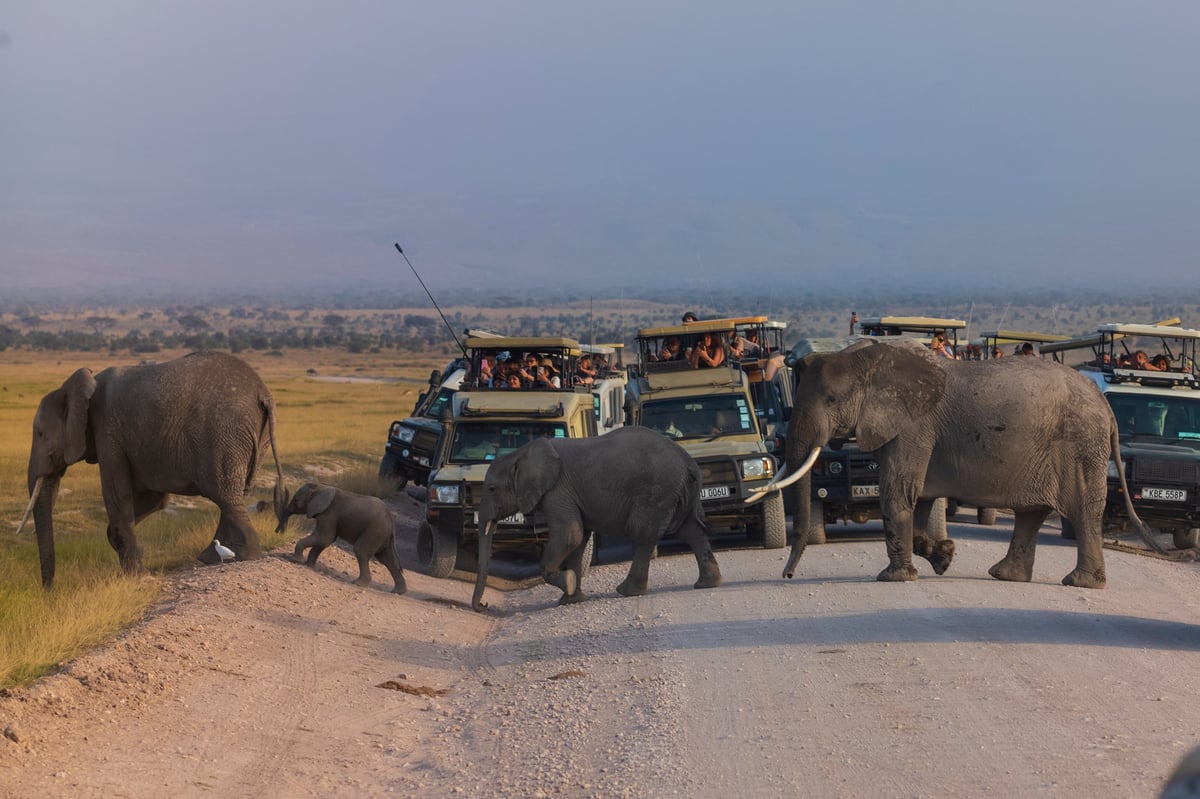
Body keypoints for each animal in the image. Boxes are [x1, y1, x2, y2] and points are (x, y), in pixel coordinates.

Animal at [19, 351, 283, 589]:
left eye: (40, 433)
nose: (49, 591)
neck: (77, 386)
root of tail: (264, 394)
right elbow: (154, 499)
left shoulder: (107, 431)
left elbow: (117, 492)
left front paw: (132, 573)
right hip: (251, 438)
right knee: (234, 495)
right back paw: (213, 557)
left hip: (224, 434)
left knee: (224, 494)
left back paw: (240, 556)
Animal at [276, 482, 407, 594]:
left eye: (296, 501)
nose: (278, 532)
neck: (321, 486)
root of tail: (391, 522)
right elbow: (325, 541)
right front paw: (309, 565)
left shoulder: (329, 514)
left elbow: (324, 538)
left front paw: (295, 560)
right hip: (382, 535)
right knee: (386, 559)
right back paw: (398, 592)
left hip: (374, 531)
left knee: (361, 551)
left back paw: (358, 583)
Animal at [472, 425, 723, 611]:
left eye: (491, 489)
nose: (484, 605)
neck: (519, 454)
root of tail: (689, 461)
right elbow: (579, 537)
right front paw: (571, 599)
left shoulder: (557, 490)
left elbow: (570, 534)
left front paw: (568, 584)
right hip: (679, 492)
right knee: (692, 530)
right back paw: (707, 584)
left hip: (657, 492)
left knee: (644, 536)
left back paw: (627, 591)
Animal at [748, 339, 1152, 589]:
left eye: (831, 400)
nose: (787, 576)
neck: (868, 359)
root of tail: (1106, 406)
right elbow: (919, 500)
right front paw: (945, 556)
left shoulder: (913, 426)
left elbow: (898, 493)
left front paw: (893, 578)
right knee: (1031, 513)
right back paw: (1005, 575)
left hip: (1080, 447)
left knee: (1082, 511)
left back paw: (1079, 582)